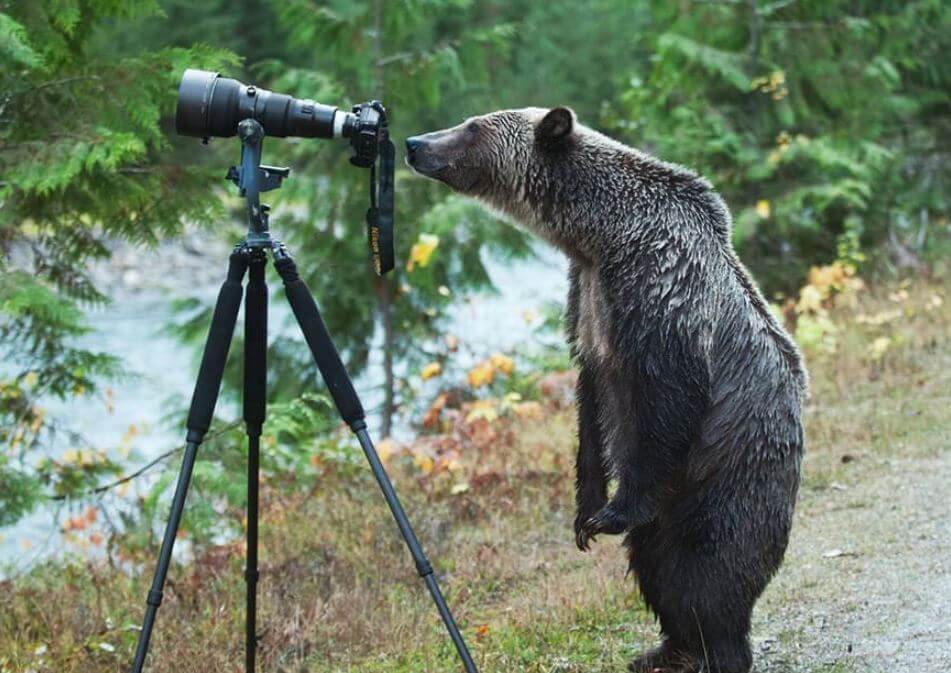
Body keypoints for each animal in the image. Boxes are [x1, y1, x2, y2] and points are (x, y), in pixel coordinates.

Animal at [405, 107, 807, 673]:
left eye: (472, 127)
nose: (415, 143)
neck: (600, 237)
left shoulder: (659, 293)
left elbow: (665, 400)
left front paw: (613, 511)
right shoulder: (588, 301)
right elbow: (591, 406)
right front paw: (585, 512)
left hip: (727, 472)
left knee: (708, 568)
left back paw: (719, 649)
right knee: (656, 564)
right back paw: (667, 648)